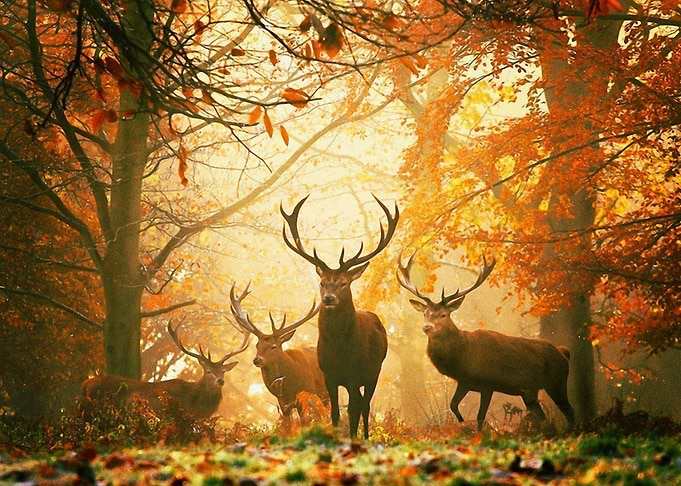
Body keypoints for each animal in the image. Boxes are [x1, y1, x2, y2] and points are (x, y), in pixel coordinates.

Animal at [229, 282, 328, 423]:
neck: (289, 386)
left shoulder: (308, 392)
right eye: (257, 345)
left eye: (274, 346)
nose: (257, 359)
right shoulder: (282, 401)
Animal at [280, 195, 399, 439]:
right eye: (322, 282)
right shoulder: (329, 375)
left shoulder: (354, 375)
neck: (339, 350)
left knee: (365, 405)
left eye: (344, 283)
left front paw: (353, 438)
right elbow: (335, 412)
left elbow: (353, 410)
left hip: (374, 371)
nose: (329, 298)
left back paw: (365, 437)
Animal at [397, 252, 575, 431]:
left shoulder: (488, 384)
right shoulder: (464, 382)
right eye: (425, 313)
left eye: (443, 314)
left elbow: (480, 416)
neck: (463, 358)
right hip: (530, 391)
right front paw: (464, 425)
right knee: (542, 416)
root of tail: (563, 353)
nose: (427, 327)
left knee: (570, 411)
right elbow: (453, 405)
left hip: (557, 381)